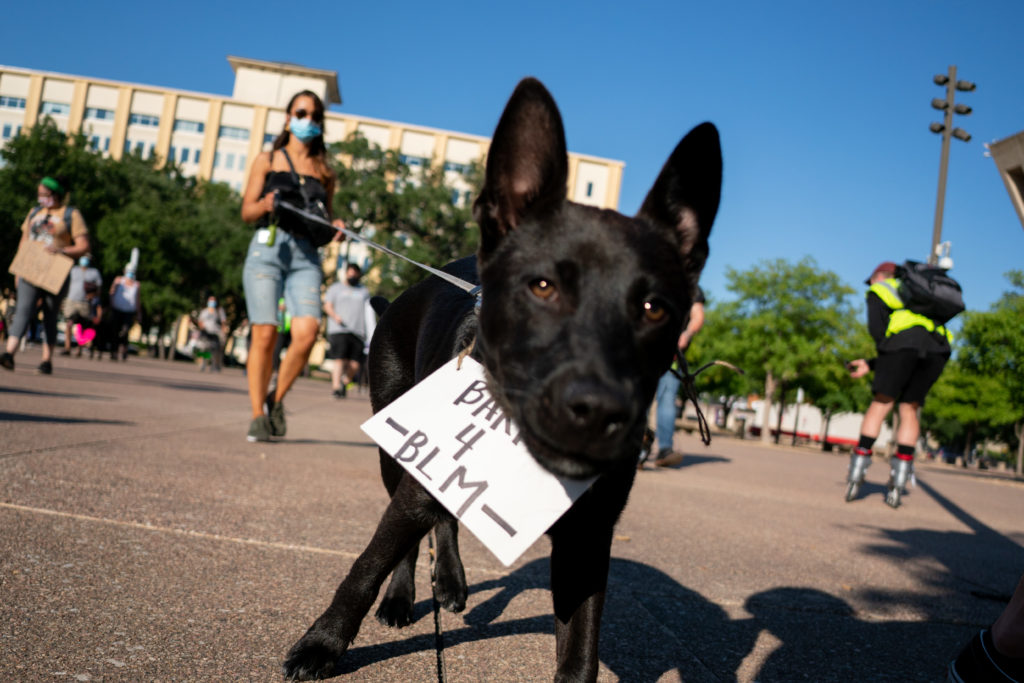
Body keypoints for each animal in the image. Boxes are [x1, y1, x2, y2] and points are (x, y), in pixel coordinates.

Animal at [284, 78, 724, 679]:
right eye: (541, 286)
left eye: (655, 308)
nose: (597, 411)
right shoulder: (421, 475)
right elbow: (368, 564)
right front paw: (323, 642)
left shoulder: (588, 540)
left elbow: (580, 654)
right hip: (398, 453)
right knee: (412, 532)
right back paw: (402, 597)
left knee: (445, 518)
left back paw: (449, 580)